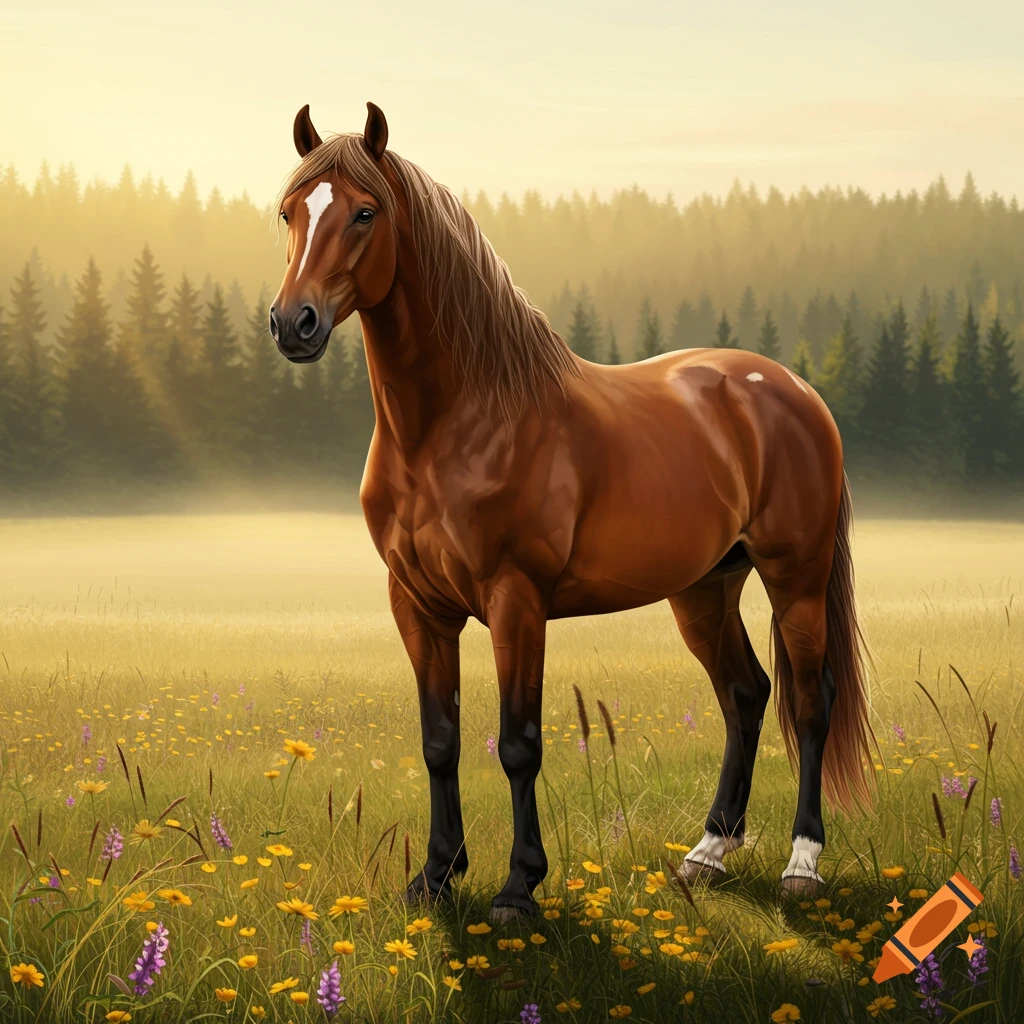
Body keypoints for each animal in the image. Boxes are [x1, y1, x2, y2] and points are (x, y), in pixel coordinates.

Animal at [269, 102, 873, 922]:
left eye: (365, 212)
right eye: (290, 212)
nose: (291, 324)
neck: (458, 421)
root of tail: (792, 389)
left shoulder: (516, 599)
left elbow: (518, 743)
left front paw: (518, 889)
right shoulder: (417, 604)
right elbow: (440, 740)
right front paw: (434, 878)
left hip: (796, 579)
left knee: (811, 702)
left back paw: (801, 864)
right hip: (706, 586)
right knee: (745, 695)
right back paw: (706, 855)